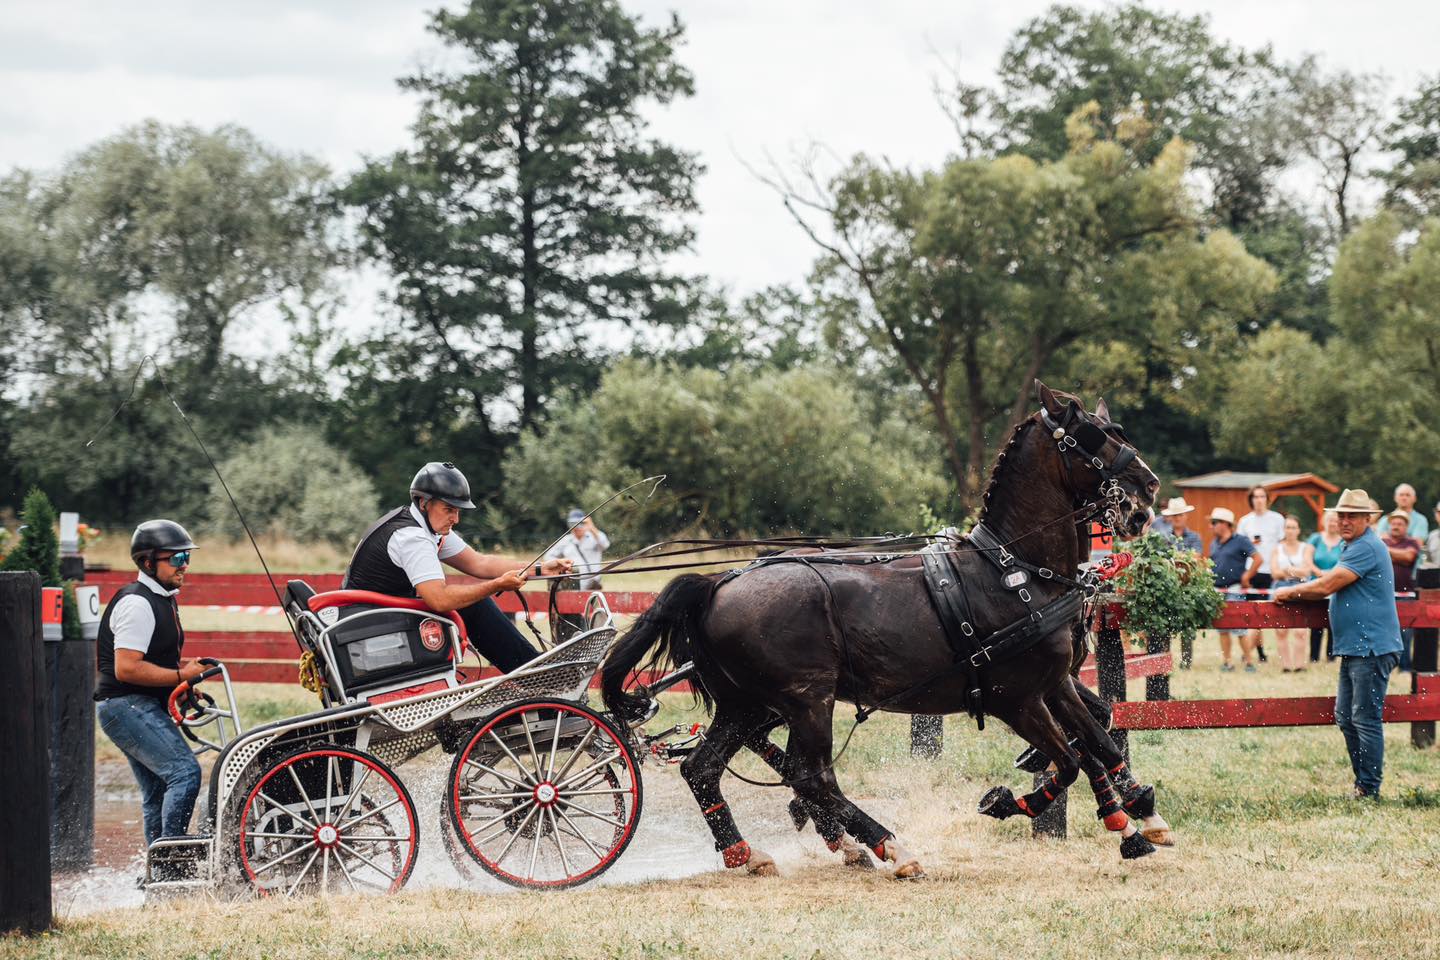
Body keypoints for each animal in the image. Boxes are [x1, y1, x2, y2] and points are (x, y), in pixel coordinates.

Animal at [601, 382, 1163, 880]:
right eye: (1091, 437)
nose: (1148, 490)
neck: (1014, 570)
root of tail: (718, 582)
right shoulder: (1017, 698)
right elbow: (1068, 761)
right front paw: (1011, 801)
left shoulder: (1055, 684)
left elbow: (1101, 739)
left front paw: (1135, 817)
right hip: (808, 700)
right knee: (812, 777)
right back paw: (889, 846)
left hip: (748, 705)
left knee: (704, 770)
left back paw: (748, 852)